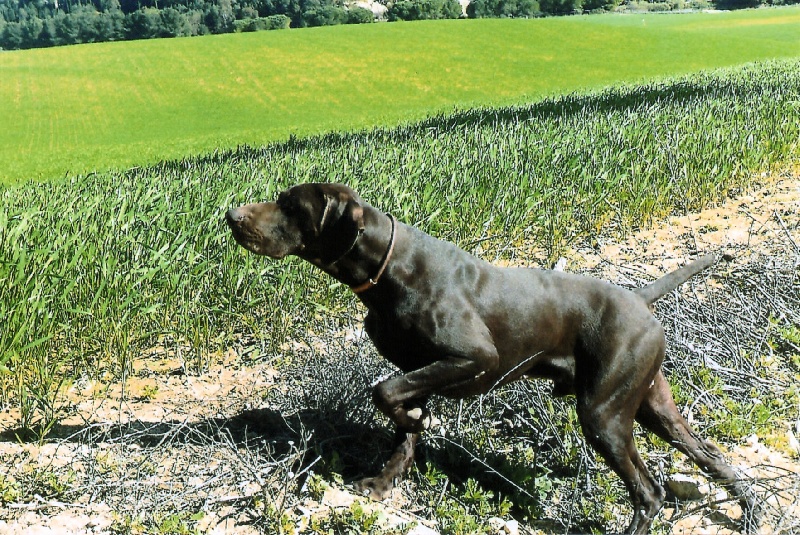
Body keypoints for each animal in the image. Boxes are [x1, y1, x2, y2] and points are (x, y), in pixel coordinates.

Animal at [225, 183, 756, 532]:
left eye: (290, 206)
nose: (231, 215)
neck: (389, 269)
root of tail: (640, 301)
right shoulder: (420, 371)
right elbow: (402, 423)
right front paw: (385, 480)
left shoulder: (473, 358)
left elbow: (385, 393)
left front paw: (411, 429)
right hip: (652, 407)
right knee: (713, 457)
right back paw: (752, 508)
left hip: (603, 414)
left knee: (649, 492)